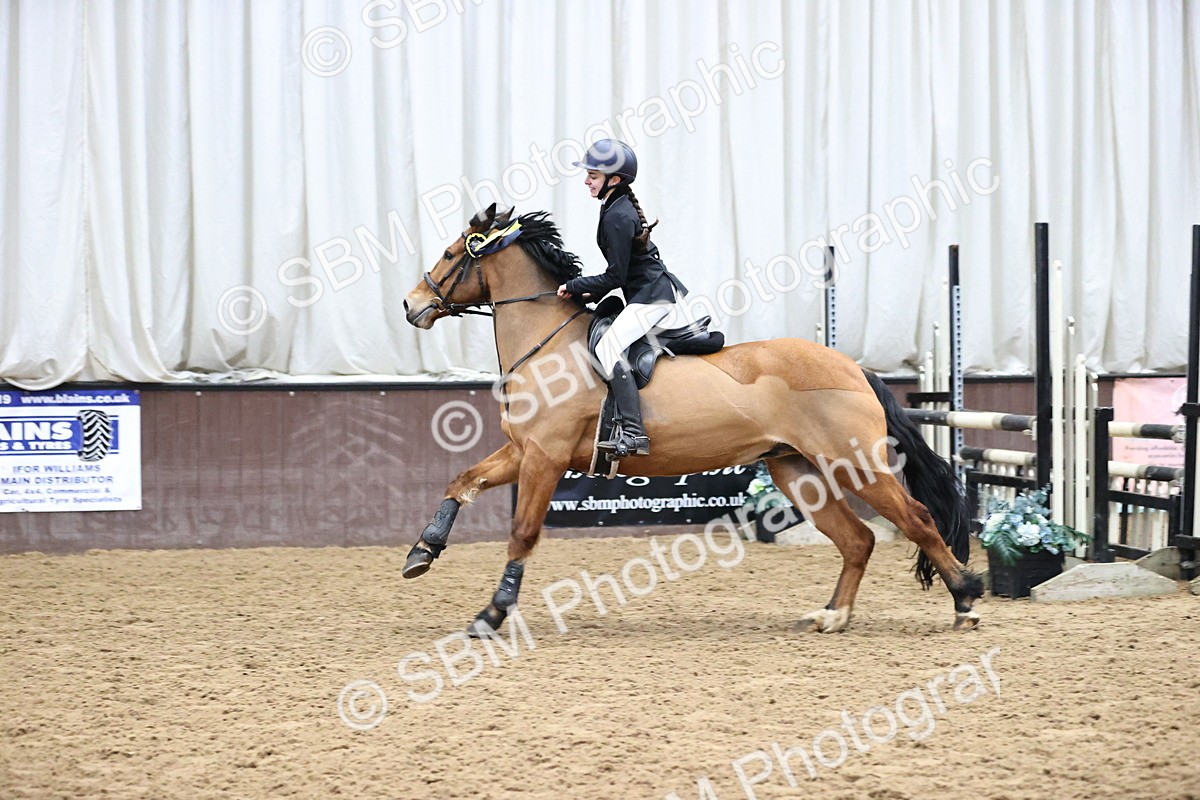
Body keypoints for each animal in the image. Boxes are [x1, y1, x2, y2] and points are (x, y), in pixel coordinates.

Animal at [401, 203, 984, 635]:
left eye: (452, 253)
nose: (411, 305)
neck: (547, 345)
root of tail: (854, 367)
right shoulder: (525, 450)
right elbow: (462, 481)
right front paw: (423, 551)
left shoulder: (545, 457)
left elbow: (522, 532)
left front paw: (492, 613)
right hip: (796, 469)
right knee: (857, 539)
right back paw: (833, 615)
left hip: (856, 464)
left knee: (917, 519)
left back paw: (965, 599)